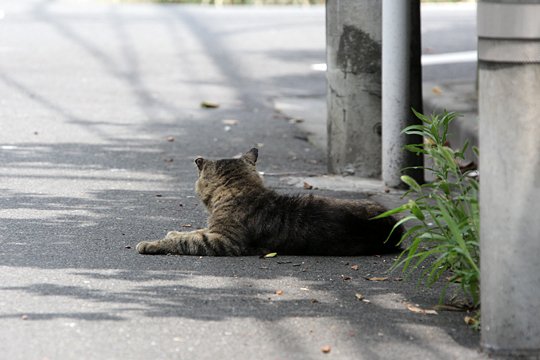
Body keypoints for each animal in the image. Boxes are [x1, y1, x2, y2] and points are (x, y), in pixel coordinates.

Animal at [137, 148, 402, 256]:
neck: (240, 190)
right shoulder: (213, 230)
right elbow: (191, 232)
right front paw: (172, 233)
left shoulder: (223, 241)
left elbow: (187, 241)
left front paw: (152, 244)